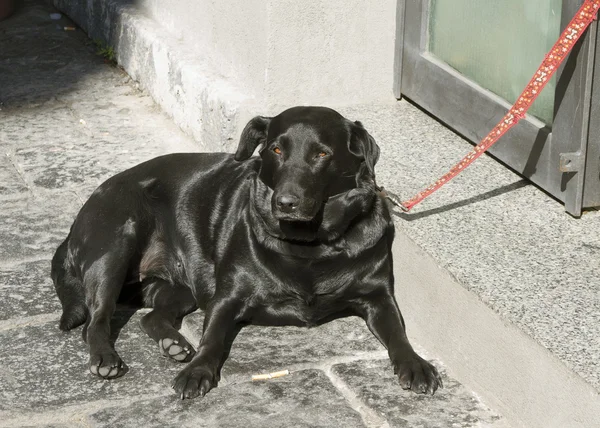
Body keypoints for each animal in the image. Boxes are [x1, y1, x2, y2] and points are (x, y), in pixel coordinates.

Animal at [51, 106, 442, 398]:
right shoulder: (226, 299)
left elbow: (398, 333)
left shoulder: (378, 297)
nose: (285, 202)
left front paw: (415, 364)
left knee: (150, 317)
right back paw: (106, 357)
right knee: (96, 318)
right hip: (114, 247)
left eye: (322, 154)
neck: (311, 246)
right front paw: (199, 371)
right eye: (276, 150)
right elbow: (212, 337)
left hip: (180, 289)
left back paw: (173, 344)